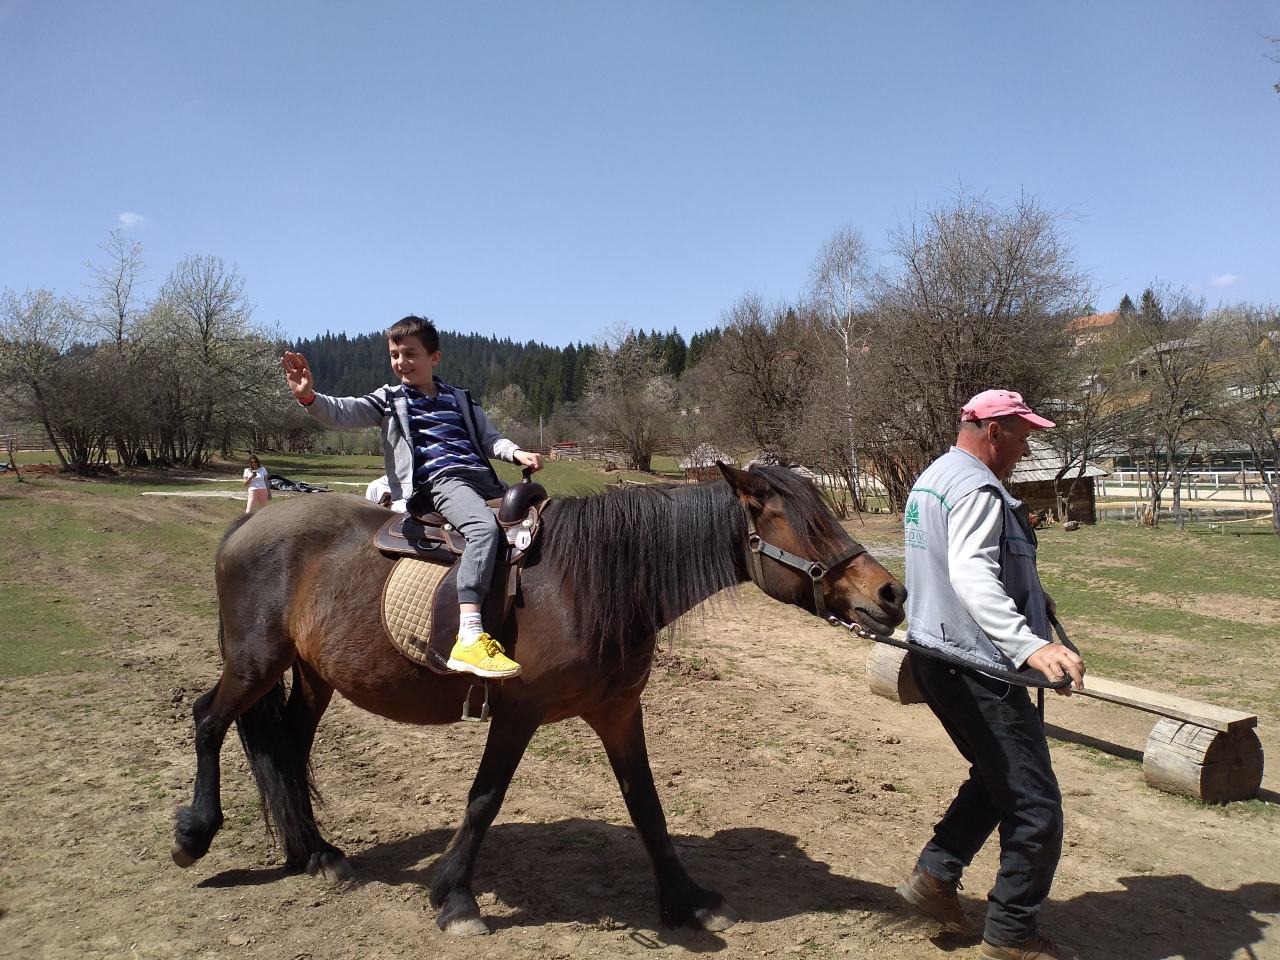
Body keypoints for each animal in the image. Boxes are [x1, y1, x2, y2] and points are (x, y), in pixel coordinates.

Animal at [172, 463, 906, 935]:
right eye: (800, 524)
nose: (892, 594)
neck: (590, 582)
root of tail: (246, 528)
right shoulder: (518, 713)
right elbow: (485, 799)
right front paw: (456, 899)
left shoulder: (619, 712)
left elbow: (648, 808)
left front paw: (686, 899)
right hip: (255, 663)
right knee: (209, 719)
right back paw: (195, 834)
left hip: (312, 674)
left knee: (289, 749)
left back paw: (316, 852)